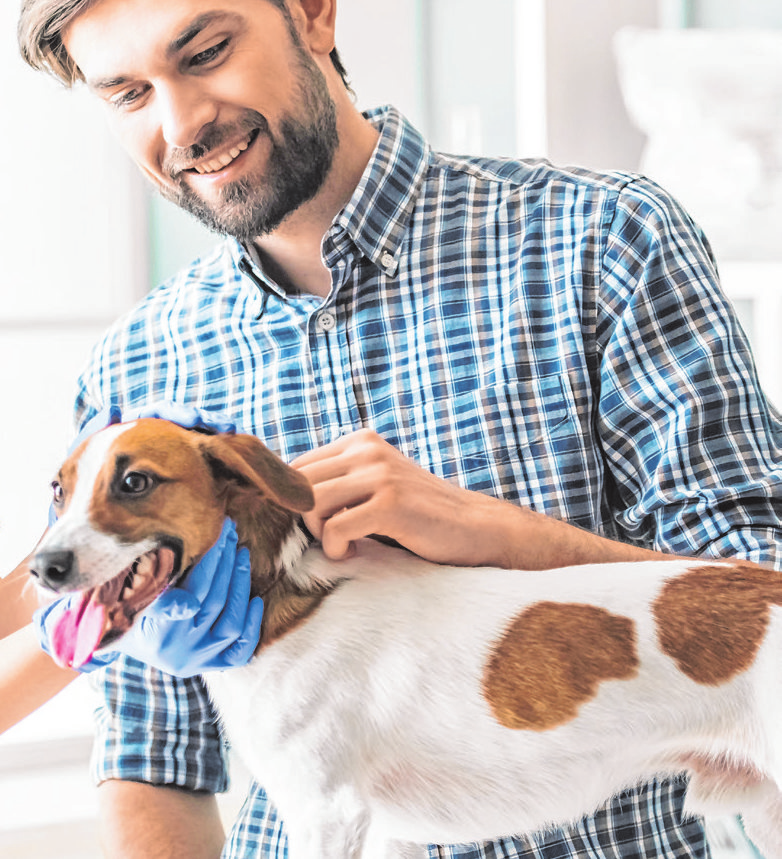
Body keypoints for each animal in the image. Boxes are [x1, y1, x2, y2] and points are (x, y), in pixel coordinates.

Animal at [27, 420, 782, 856]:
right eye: (58, 490)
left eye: (134, 481)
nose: (41, 567)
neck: (284, 602)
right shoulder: (385, 832)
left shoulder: (329, 813)